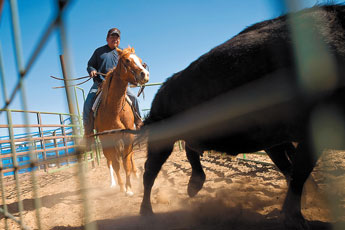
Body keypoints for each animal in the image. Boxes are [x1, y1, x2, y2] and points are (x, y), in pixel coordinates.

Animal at [94, 47, 148, 196]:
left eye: (140, 60)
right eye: (127, 60)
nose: (145, 74)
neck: (114, 109)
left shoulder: (128, 136)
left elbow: (126, 163)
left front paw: (129, 188)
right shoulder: (108, 139)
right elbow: (116, 165)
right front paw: (122, 186)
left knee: (130, 157)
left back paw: (135, 174)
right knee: (110, 162)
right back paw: (114, 183)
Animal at [140, 4, 344, 230]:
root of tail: (162, 90)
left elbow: (295, 171)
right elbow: (299, 172)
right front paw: (296, 218)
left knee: (190, 152)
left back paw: (194, 185)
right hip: (162, 142)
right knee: (150, 172)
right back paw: (147, 213)